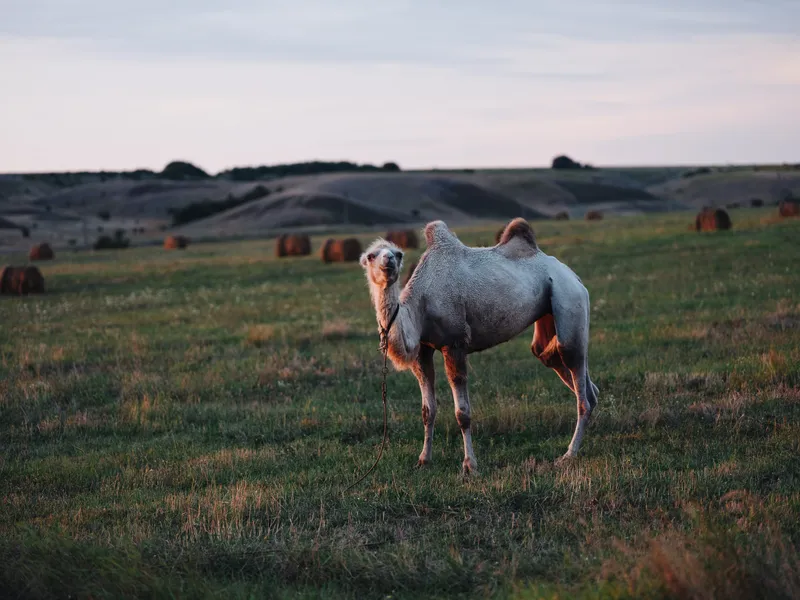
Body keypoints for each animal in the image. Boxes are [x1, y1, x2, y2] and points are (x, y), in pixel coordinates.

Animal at [359, 218, 599, 475]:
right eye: (372, 255)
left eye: (398, 253)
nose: (389, 261)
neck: (420, 305)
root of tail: (573, 276)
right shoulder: (422, 350)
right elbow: (427, 411)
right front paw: (424, 459)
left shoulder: (454, 344)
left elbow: (462, 413)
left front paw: (470, 465)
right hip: (549, 316)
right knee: (562, 367)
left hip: (569, 299)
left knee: (574, 367)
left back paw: (569, 454)